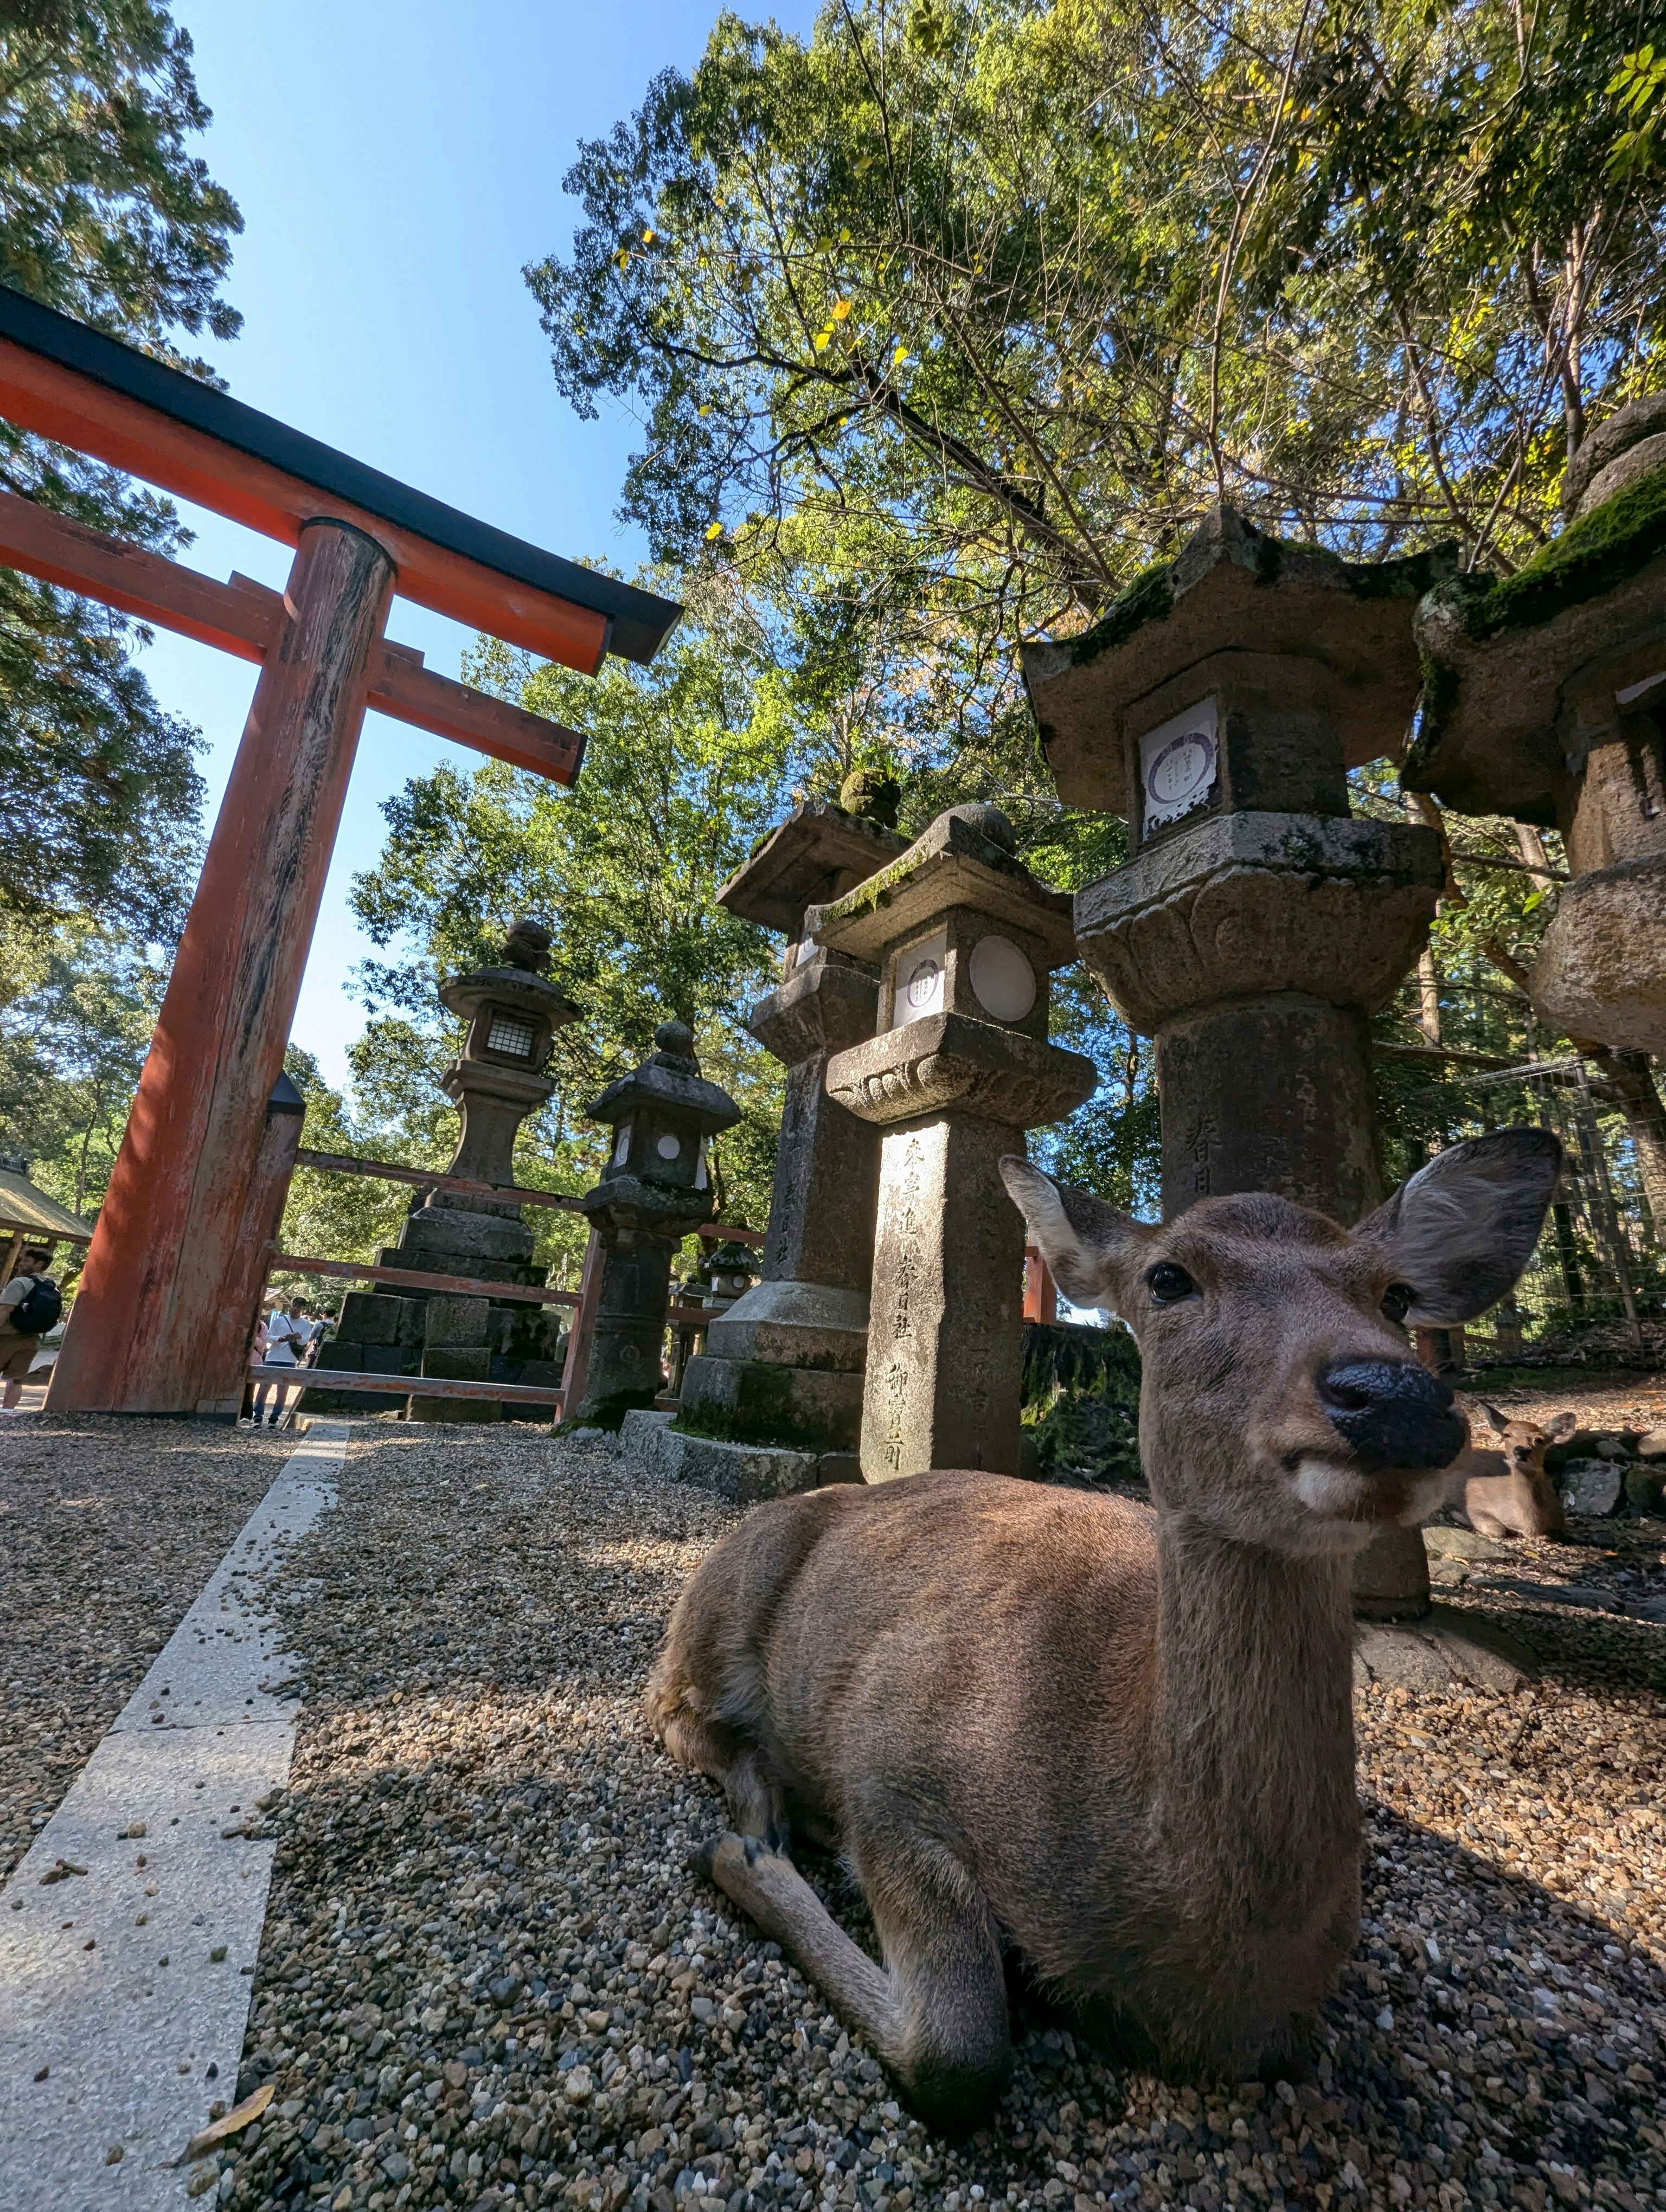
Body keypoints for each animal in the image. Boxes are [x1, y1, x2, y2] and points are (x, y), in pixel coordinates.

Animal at [646, 1128, 1562, 2132]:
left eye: (1394, 1293)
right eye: (1168, 1277)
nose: (1395, 1394)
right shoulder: (889, 1771)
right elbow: (958, 2055)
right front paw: (743, 1859)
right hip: (725, 1598)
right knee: (673, 1712)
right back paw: (762, 1817)